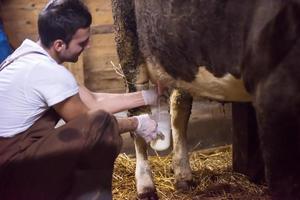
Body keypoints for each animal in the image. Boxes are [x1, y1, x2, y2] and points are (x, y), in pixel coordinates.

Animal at [111, 0, 300, 199]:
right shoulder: (274, 95)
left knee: (179, 107)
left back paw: (183, 176)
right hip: (128, 40)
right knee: (138, 110)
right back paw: (146, 187)